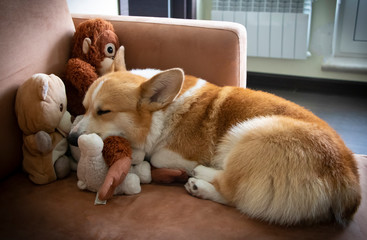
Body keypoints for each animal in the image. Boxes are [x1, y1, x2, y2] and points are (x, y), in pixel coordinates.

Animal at [70, 68, 360, 227]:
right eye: (84, 107)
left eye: (104, 112)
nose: (71, 139)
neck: (163, 111)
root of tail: (346, 181)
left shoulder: (179, 152)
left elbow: (158, 156)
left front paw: (143, 155)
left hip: (251, 133)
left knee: (233, 191)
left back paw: (201, 180)